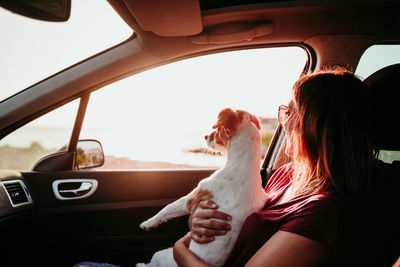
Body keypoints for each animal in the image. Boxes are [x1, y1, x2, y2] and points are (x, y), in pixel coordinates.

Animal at [138, 108, 268, 267]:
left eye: (217, 130)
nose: (205, 136)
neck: (242, 167)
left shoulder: (190, 200)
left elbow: (167, 209)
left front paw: (148, 223)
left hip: (161, 255)